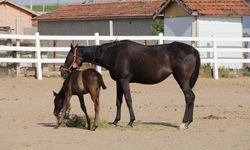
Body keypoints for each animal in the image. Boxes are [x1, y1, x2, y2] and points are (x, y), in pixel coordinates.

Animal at [61, 40, 201, 129]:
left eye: (69, 56)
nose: (63, 72)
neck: (113, 53)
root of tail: (193, 50)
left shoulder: (124, 80)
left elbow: (128, 100)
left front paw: (131, 122)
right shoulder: (118, 82)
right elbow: (119, 101)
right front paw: (115, 121)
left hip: (182, 79)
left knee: (189, 97)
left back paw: (183, 123)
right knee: (192, 97)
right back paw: (188, 122)